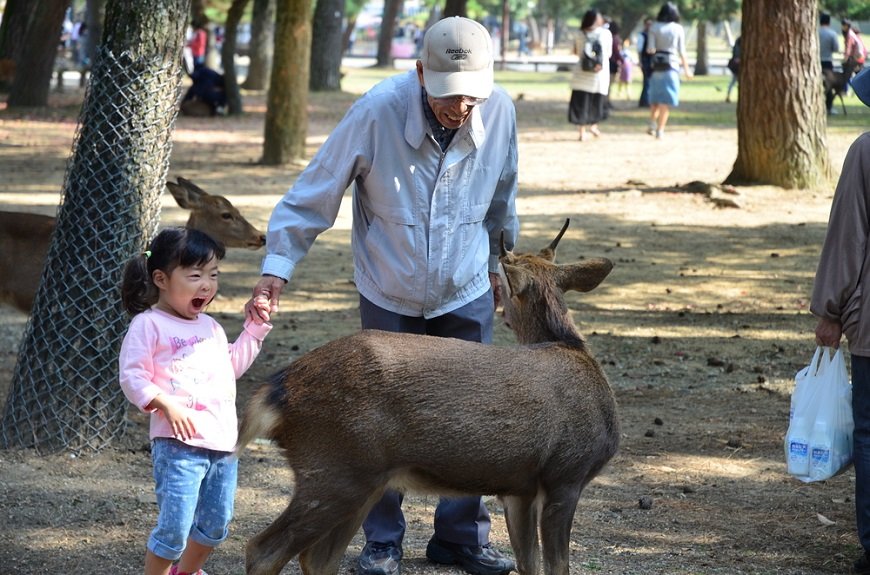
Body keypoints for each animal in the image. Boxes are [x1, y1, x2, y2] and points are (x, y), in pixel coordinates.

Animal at [235, 220, 624, 575]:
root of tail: (276, 390)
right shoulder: (566, 474)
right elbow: (557, 566)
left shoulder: (519, 489)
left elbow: (528, 564)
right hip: (332, 468)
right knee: (263, 549)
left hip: (361, 479)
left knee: (316, 558)